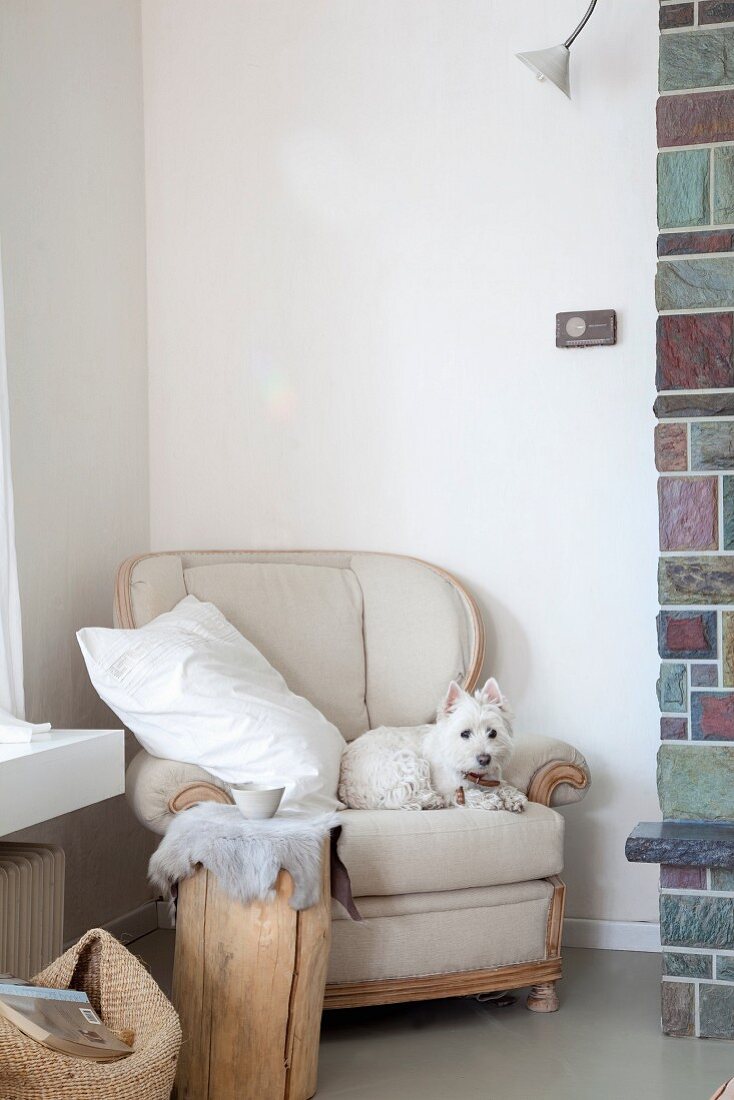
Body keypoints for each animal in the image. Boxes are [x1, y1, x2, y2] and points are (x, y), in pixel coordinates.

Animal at [341, 673, 526, 814]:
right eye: (465, 733)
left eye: (493, 732)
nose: (484, 759)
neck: (475, 775)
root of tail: (346, 790)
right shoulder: (451, 790)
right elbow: (469, 794)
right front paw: (490, 800)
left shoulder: (493, 779)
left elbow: (504, 786)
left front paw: (514, 798)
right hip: (408, 762)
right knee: (395, 797)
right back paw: (431, 801)